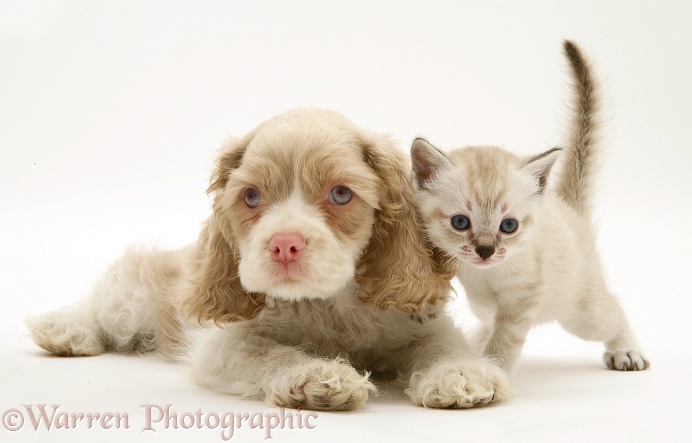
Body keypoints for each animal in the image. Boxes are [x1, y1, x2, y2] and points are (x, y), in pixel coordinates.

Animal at [27, 106, 510, 410]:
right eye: (251, 196)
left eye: (340, 194)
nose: (284, 244)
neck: (330, 302)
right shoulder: (224, 343)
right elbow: (273, 355)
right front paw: (316, 376)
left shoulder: (419, 322)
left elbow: (441, 346)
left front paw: (460, 375)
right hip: (129, 302)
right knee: (101, 308)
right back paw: (65, 329)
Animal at [410, 40, 648, 374]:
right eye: (460, 222)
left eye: (509, 226)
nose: (485, 251)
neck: (483, 273)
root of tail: (567, 207)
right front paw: (424, 305)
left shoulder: (523, 294)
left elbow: (506, 339)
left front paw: (494, 369)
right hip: (481, 306)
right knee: (488, 320)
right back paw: (477, 340)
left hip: (581, 313)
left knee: (613, 312)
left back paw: (626, 351)